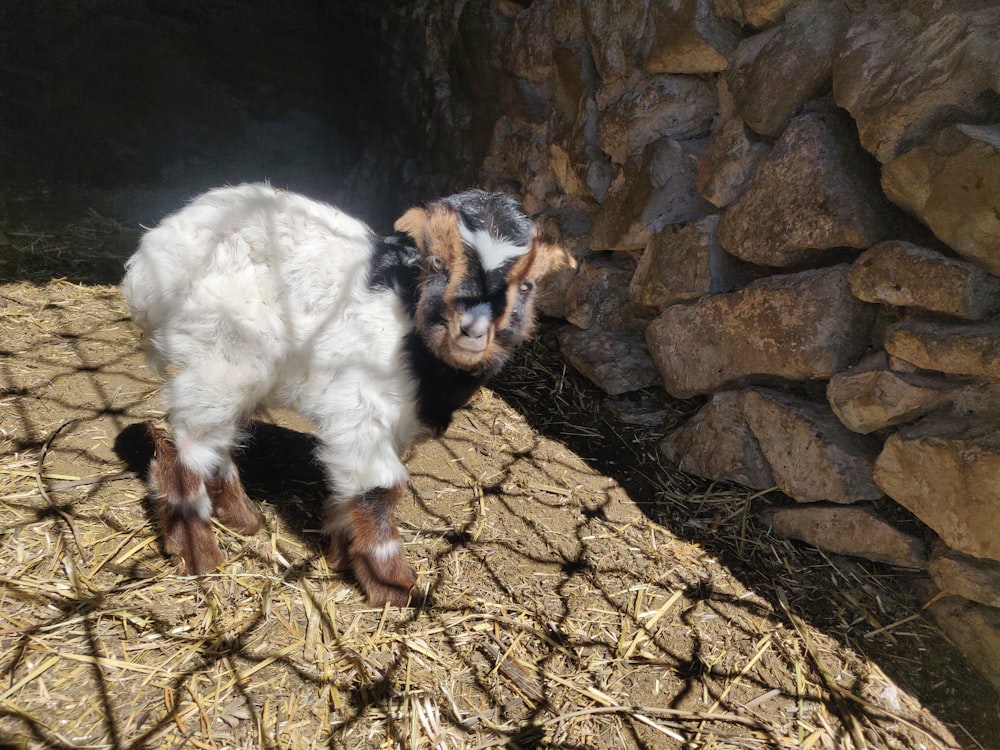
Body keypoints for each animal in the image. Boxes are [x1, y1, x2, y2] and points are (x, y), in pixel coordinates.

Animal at [119, 185, 572, 608]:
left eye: (527, 285)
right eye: (438, 263)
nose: (473, 329)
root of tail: (150, 261)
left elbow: (351, 493)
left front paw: (340, 552)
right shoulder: (360, 408)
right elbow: (380, 490)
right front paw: (396, 588)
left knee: (217, 439)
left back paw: (243, 519)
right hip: (221, 356)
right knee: (187, 446)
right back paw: (200, 555)